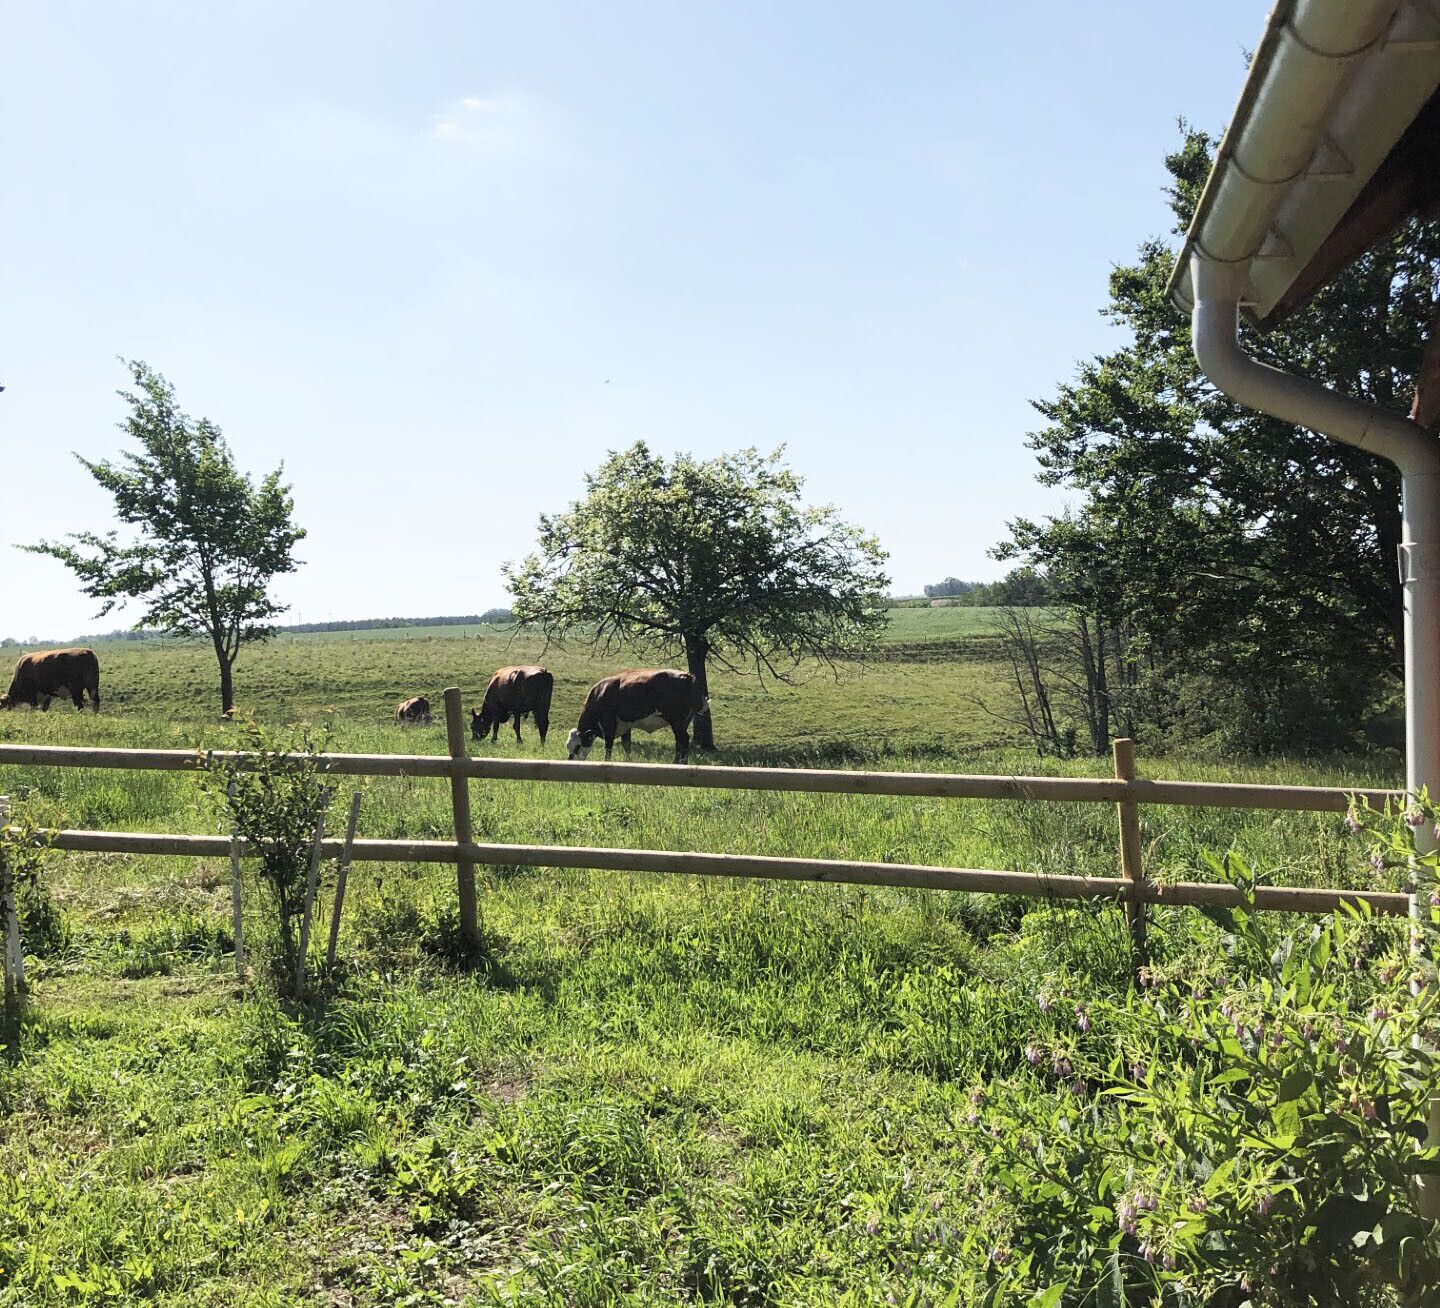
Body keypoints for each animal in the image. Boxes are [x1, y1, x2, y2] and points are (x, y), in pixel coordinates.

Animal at [565, 669, 704, 764]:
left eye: (577, 747)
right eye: (568, 746)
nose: (570, 761)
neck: (600, 693)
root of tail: (687, 676)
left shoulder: (609, 723)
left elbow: (608, 745)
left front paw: (607, 761)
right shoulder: (626, 726)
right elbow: (627, 745)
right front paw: (629, 761)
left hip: (677, 721)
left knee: (683, 740)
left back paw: (680, 764)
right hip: (683, 722)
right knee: (678, 742)